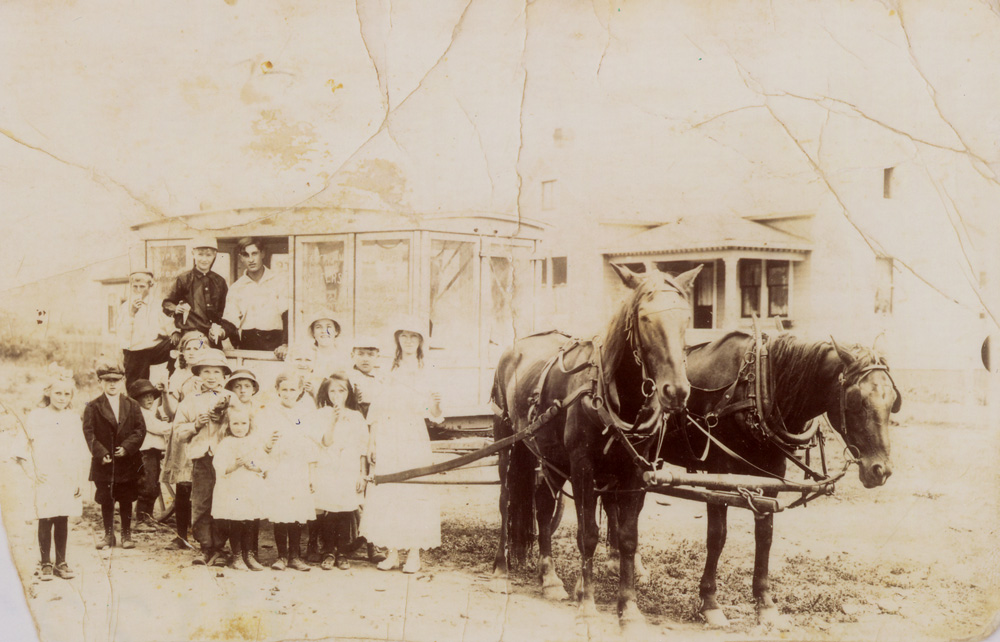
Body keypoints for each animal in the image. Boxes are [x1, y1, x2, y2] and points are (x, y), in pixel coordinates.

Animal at [492, 262, 704, 632]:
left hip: (547, 457)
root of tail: (513, 348)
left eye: (685, 317)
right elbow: (587, 534)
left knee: (543, 505)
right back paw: (501, 568)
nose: (676, 391)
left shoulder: (634, 472)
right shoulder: (583, 467)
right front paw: (588, 606)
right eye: (645, 318)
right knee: (507, 500)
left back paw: (549, 578)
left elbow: (627, 537)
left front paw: (629, 609)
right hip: (509, 442)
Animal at [604, 332, 904, 628]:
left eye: (892, 402)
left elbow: (765, 536)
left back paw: (624, 559)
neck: (758, 388)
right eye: (856, 400)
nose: (881, 470)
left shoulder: (772, 474)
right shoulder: (719, 473)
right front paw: (710, 603)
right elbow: (717, 536)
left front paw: (765, 603)